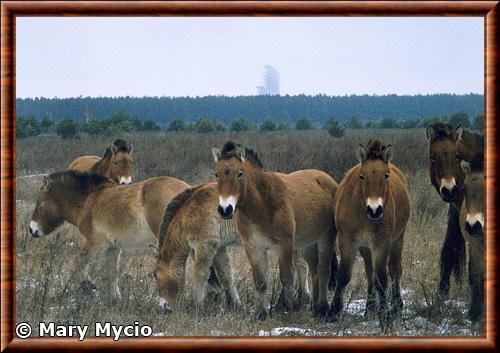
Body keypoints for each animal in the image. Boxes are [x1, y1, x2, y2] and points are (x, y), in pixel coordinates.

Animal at [29, 170, 189, 300]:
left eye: (39, 203)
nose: (31, 229)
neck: (89, 199)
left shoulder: (92, 243)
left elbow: (79, 265)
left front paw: (77, 288)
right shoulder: (113, 247)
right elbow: (111, 273)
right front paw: (114, 298)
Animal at [156, 182, 312, 310]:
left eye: (156, 276)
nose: (164, 307)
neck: (189, 211)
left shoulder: (204, 246)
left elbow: (200, 274)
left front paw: (197, 304)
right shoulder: (219, 248)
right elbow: (226, 275)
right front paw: (235, 304)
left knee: (299, 267)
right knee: (300, 266)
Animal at [211, 141, 336, 320]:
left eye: (240, 173)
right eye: (217, 174)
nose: (225, 209)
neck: (263, 204)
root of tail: (328, 179)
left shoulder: (284, 246)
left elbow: (287, 278)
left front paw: (289, 309)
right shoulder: (254, 248)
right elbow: (261, 281)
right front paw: (261, 313)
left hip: (327, 238)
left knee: (324, 270)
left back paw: (322, 307)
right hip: (308, 245)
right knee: (314, 271)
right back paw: (314, 307)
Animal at [328, 138, 410, 330]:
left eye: (386, 175)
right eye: (362, 176)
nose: (375, 210)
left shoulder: (382, 243)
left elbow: (382, 279)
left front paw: (384, 316)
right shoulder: (347, 241)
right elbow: (344, 275)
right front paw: (334, 311)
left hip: (397, 239)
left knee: (395, 269)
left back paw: (396, 307)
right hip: (365, 248)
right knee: (369, 270)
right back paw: (370, 307)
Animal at [426, 122, 484, 296]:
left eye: (456, 155)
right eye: (433, 157)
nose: (449, 190)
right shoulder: (458, 215)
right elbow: (449, 249)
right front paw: (442, 292)